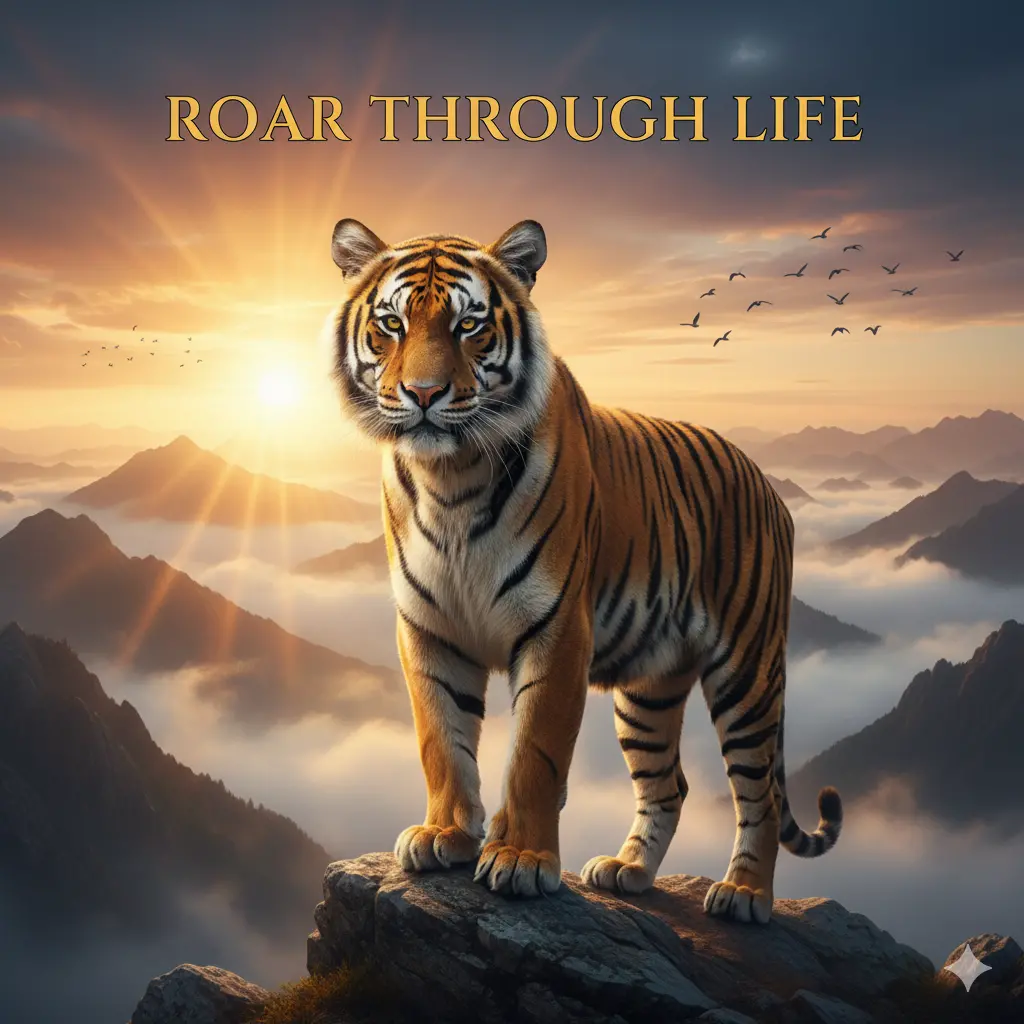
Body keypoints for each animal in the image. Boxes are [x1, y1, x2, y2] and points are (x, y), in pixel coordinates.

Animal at [327, 217, 842, 924]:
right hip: (650, 690)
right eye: (392, 324)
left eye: (468, 325)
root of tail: (765, 482)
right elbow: (442, 741)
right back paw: (628, 871)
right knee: (670, 784)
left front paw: (520, 860)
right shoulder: (428, 630)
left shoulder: (557, 629)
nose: (424, 394)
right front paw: (444, 835)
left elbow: (534, 754)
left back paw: (743, 894)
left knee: (758, 791)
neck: (450, 477)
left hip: (748, 670)